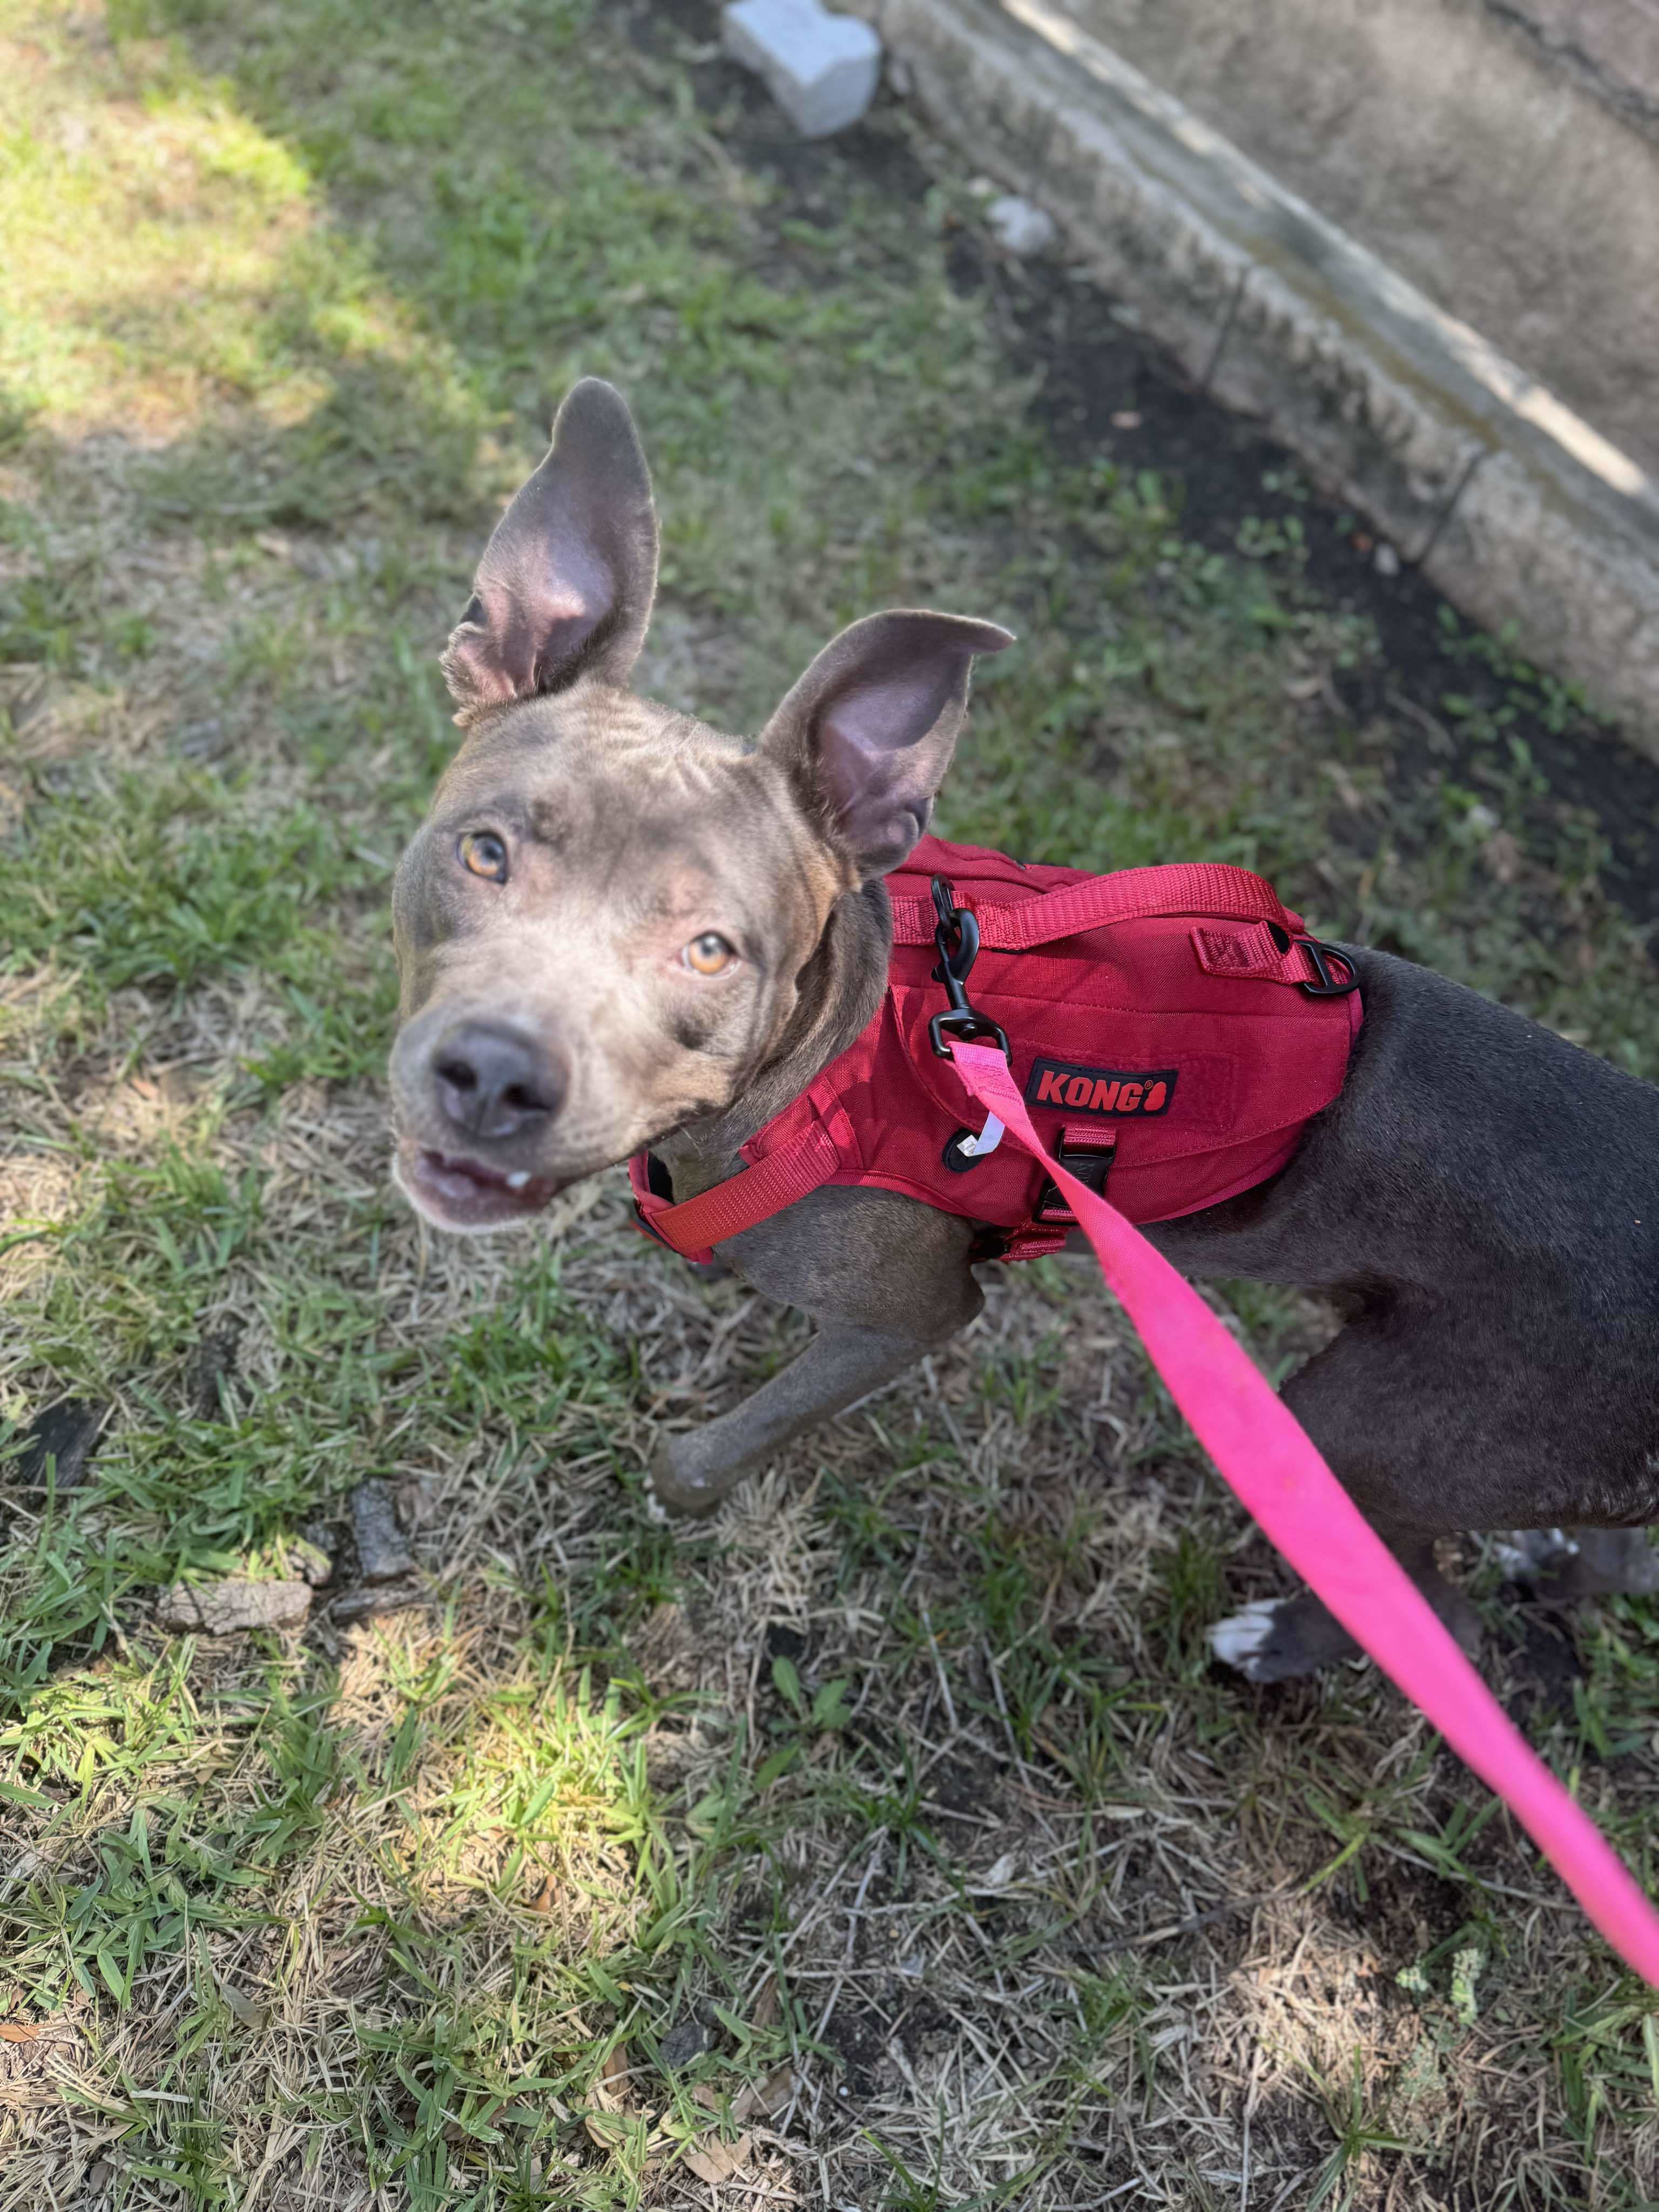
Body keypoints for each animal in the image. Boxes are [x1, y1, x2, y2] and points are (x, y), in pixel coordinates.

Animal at [387, 389, 1659, 1681]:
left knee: (1433, 1610)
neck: (822, 1059)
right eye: (485, 852)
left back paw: (1277, 1645)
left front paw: (675, 1495)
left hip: (1359, 1429)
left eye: (710, 949)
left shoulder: (909, 1316)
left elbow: (700, 1452)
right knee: (1612, 1557)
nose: (493, 1077)